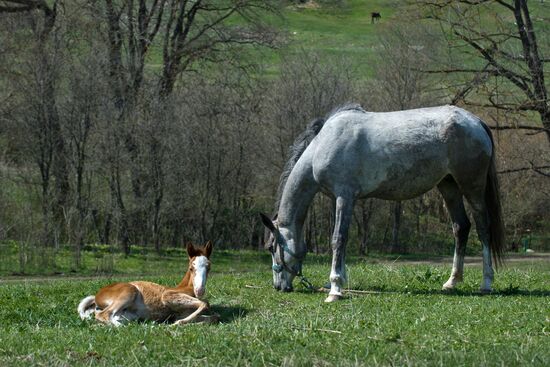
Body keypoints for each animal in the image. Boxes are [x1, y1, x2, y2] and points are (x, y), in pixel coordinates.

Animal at [77, 243, 218, 326]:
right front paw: (177, 323)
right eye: (191, 268)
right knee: (104, 314)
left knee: (109, 316)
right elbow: (205, 303)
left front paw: (178, 321)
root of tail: (97, 296)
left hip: (128, 314)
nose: (200, 290)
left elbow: (214, 316)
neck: (186, 288)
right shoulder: (167, 296)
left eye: (209, 267)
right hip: (129, 292)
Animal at [260, 103, 506, 302]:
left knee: (483, 227)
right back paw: (451, 282)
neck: (324, 143)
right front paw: (336, 282)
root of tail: (476, 122)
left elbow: (338, 239)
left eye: (272, 248)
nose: (278, 286)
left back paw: (486, 283)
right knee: (461, 227)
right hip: (449, 186)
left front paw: (335, 289)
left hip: (472, 186)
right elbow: (341, 240)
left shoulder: (344, 196)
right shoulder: (339, 199)